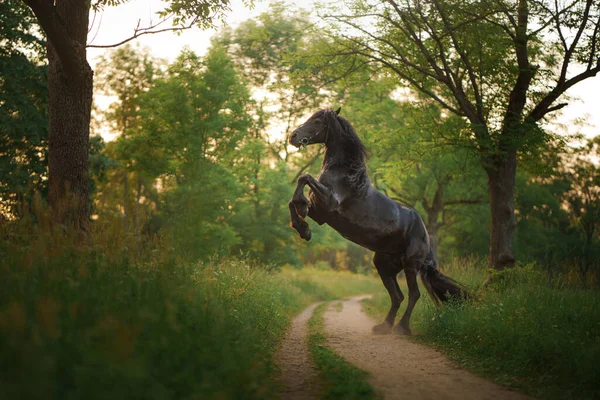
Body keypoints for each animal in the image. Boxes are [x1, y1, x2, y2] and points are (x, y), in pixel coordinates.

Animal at [288, 107, 466, 334]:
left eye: (318, 121)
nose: (293, 136)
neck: (344, 173)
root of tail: (426, 236)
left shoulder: (329, 203)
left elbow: (305, 178)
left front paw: (302, 216)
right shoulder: (321, 214)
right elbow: (292, 201)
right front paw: (303, 228)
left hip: (411, 265)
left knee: (414, 294)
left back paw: (401, 328)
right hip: (384, 263)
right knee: (398, 296)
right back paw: (384, 326)